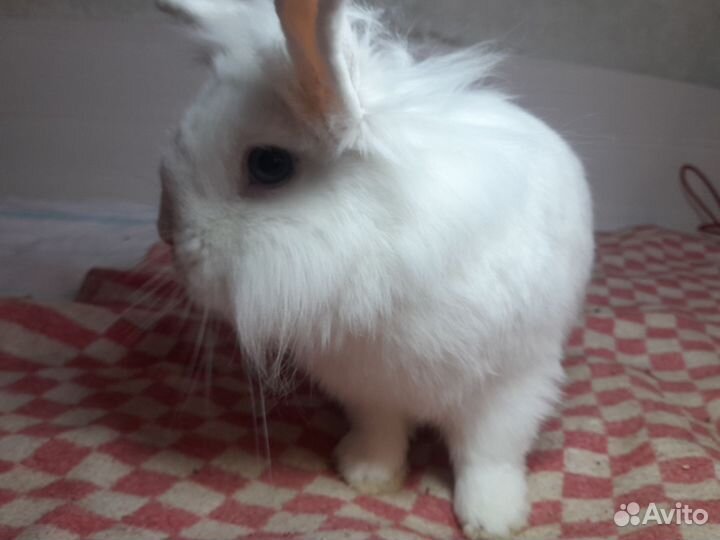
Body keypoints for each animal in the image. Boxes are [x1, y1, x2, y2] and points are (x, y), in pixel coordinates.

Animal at [156, 0, 594, 537]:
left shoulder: (512, 384)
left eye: (269, 165)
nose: (166, 232)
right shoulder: (369, 387)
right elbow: (381, 432)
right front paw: (365, 475)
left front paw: (493, 518)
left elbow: (489, 455)